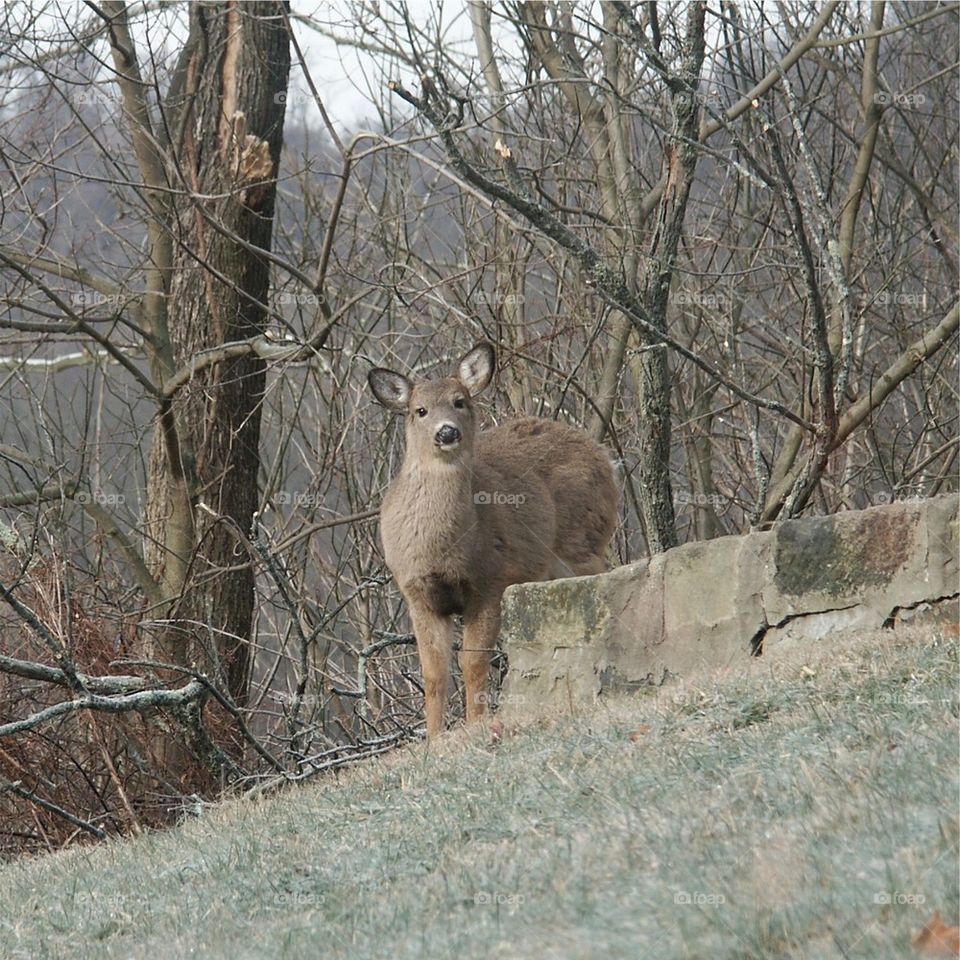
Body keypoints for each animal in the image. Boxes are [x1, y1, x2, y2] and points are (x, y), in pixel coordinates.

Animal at [367, 342, 618, 739]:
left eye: (460, 401)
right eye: (420, 410)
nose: (447, 432)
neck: (441, 552)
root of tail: (604, 457)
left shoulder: (491, 580)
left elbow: (472, 663)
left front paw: (476, 724)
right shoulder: (417, 595)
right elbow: (434, 674)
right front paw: (434, 739)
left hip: (584, 540)